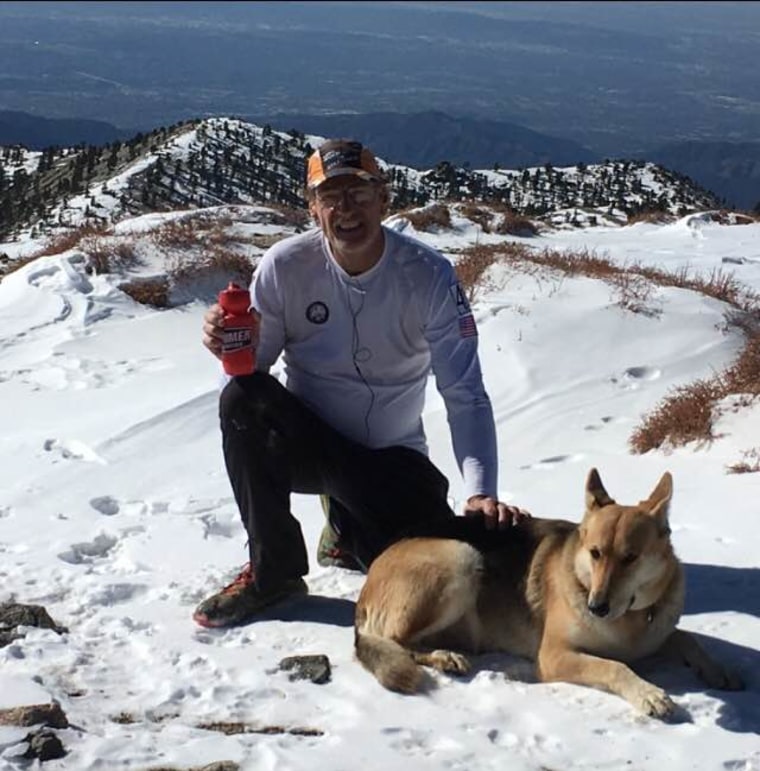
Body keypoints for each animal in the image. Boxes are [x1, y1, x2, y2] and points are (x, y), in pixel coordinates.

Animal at [354, 468, 744, 720]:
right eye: (595, 553)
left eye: (630, 558)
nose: (596, 607)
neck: (631, 619)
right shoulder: (556, 656)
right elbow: (614, 666)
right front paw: (649, 693)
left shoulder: (657, 633)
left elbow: (687, 638)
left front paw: (718, 669)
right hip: (461, 558)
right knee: (396, 640)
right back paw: (443, 656)